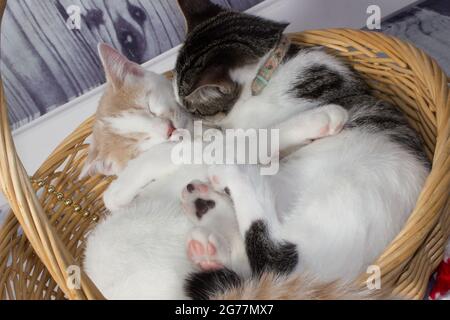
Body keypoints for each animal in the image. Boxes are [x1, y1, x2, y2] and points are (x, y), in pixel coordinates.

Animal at [171, 0, 430, 298]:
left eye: (191, 106)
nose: (185, 117)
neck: (268, 72)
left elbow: (257, 136)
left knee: (271, 251)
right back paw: (204, 222)